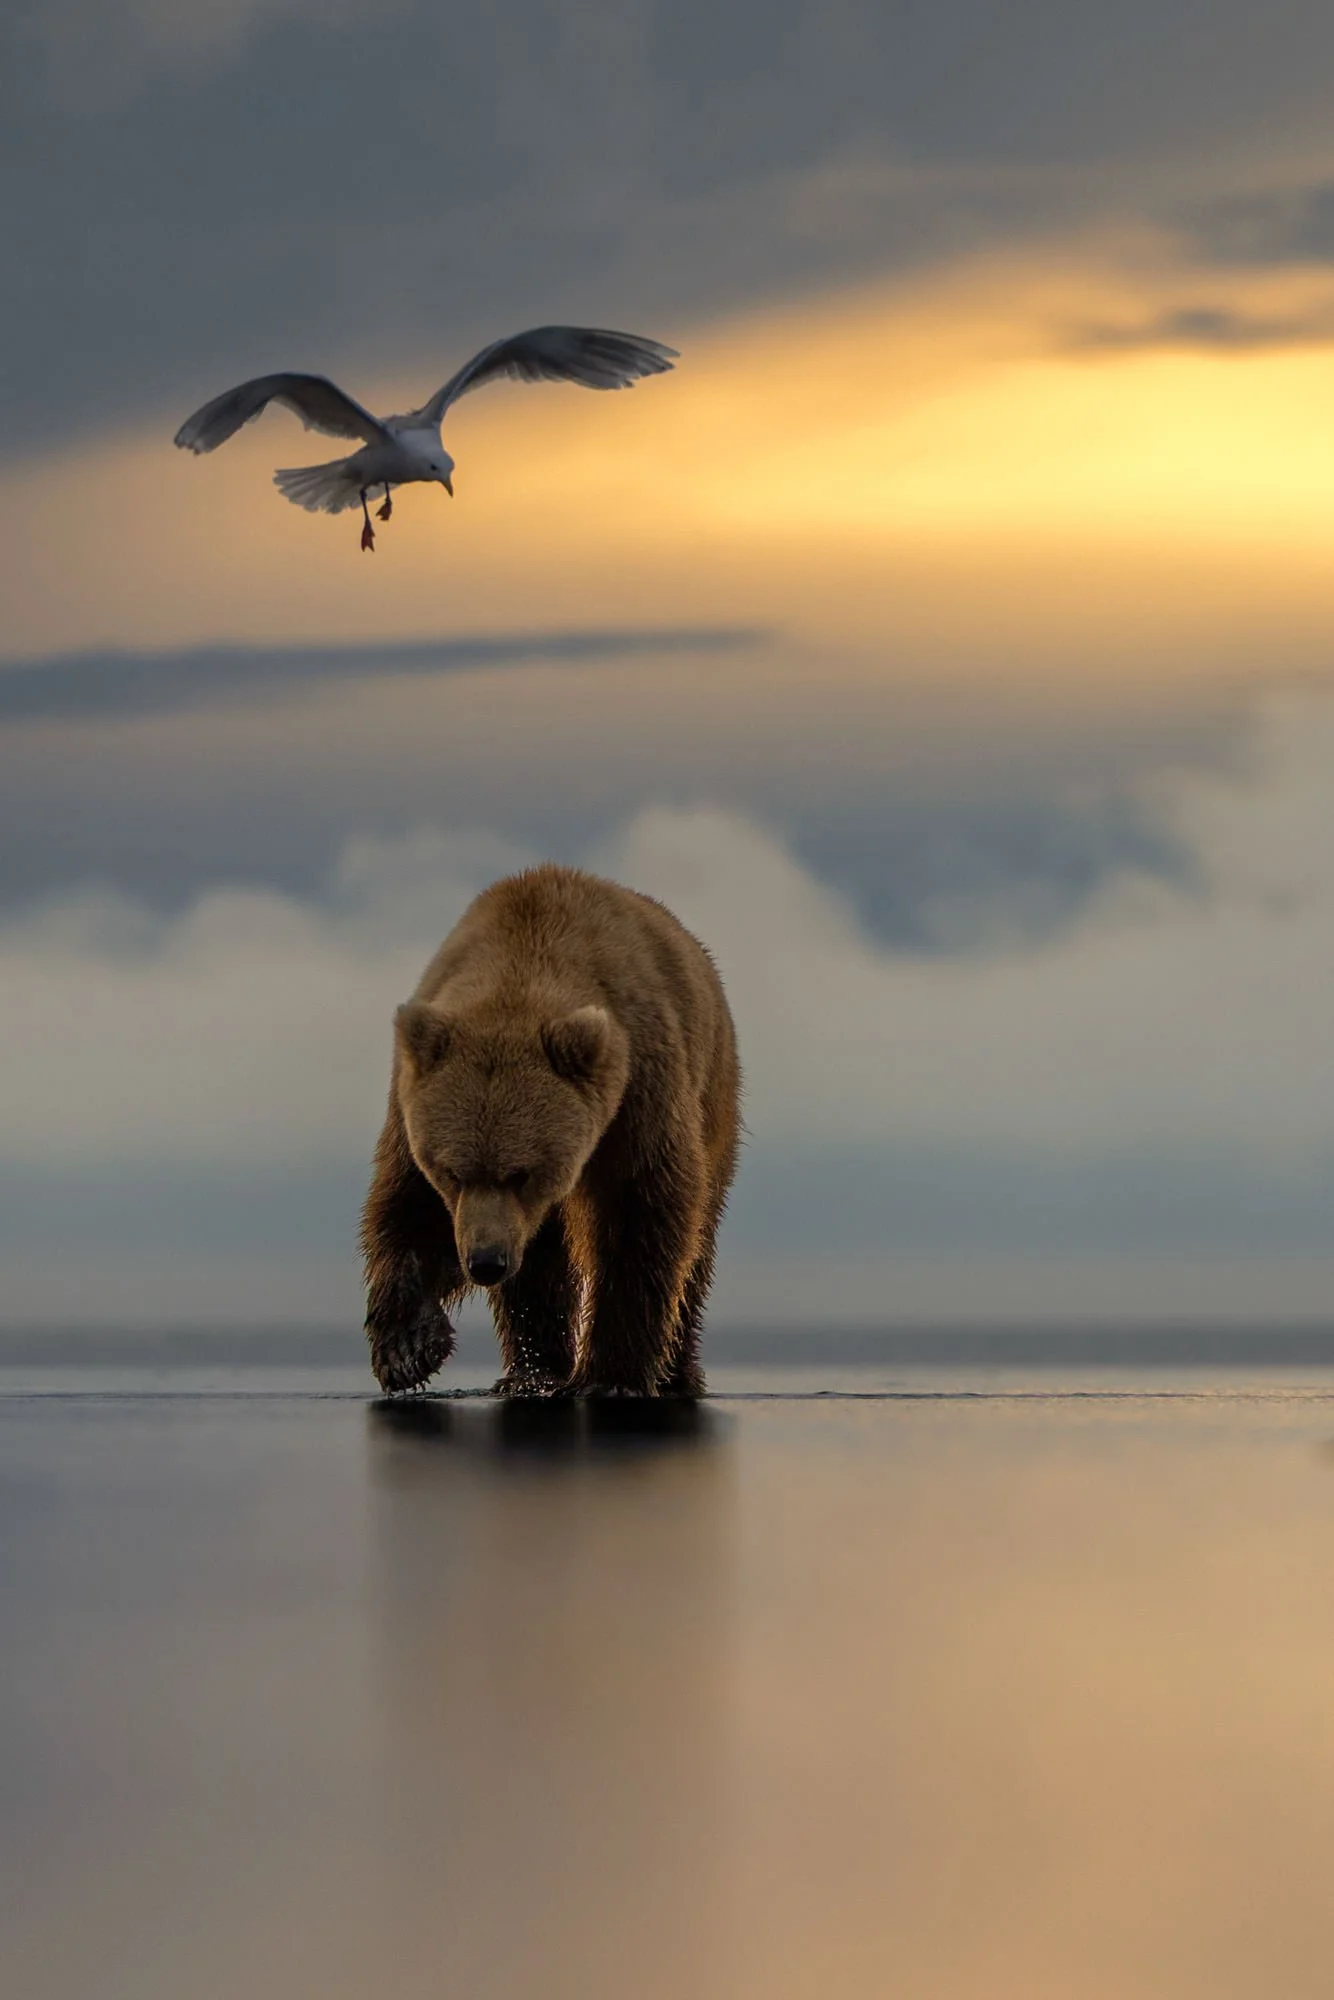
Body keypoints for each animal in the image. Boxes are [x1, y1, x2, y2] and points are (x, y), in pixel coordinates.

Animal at [361, 863, 741, 1398]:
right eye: (452, 1173)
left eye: (522, 1173)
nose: (486, 1260)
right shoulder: (410, 1100)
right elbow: (411, 1206)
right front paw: (407, 1349)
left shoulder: (638, 1088)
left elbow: (640, 1212)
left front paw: (611, 1377)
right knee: (542, 1261)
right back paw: (532, 1372)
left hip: (712, 1094)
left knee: (697, 1238)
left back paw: (677, 1373)